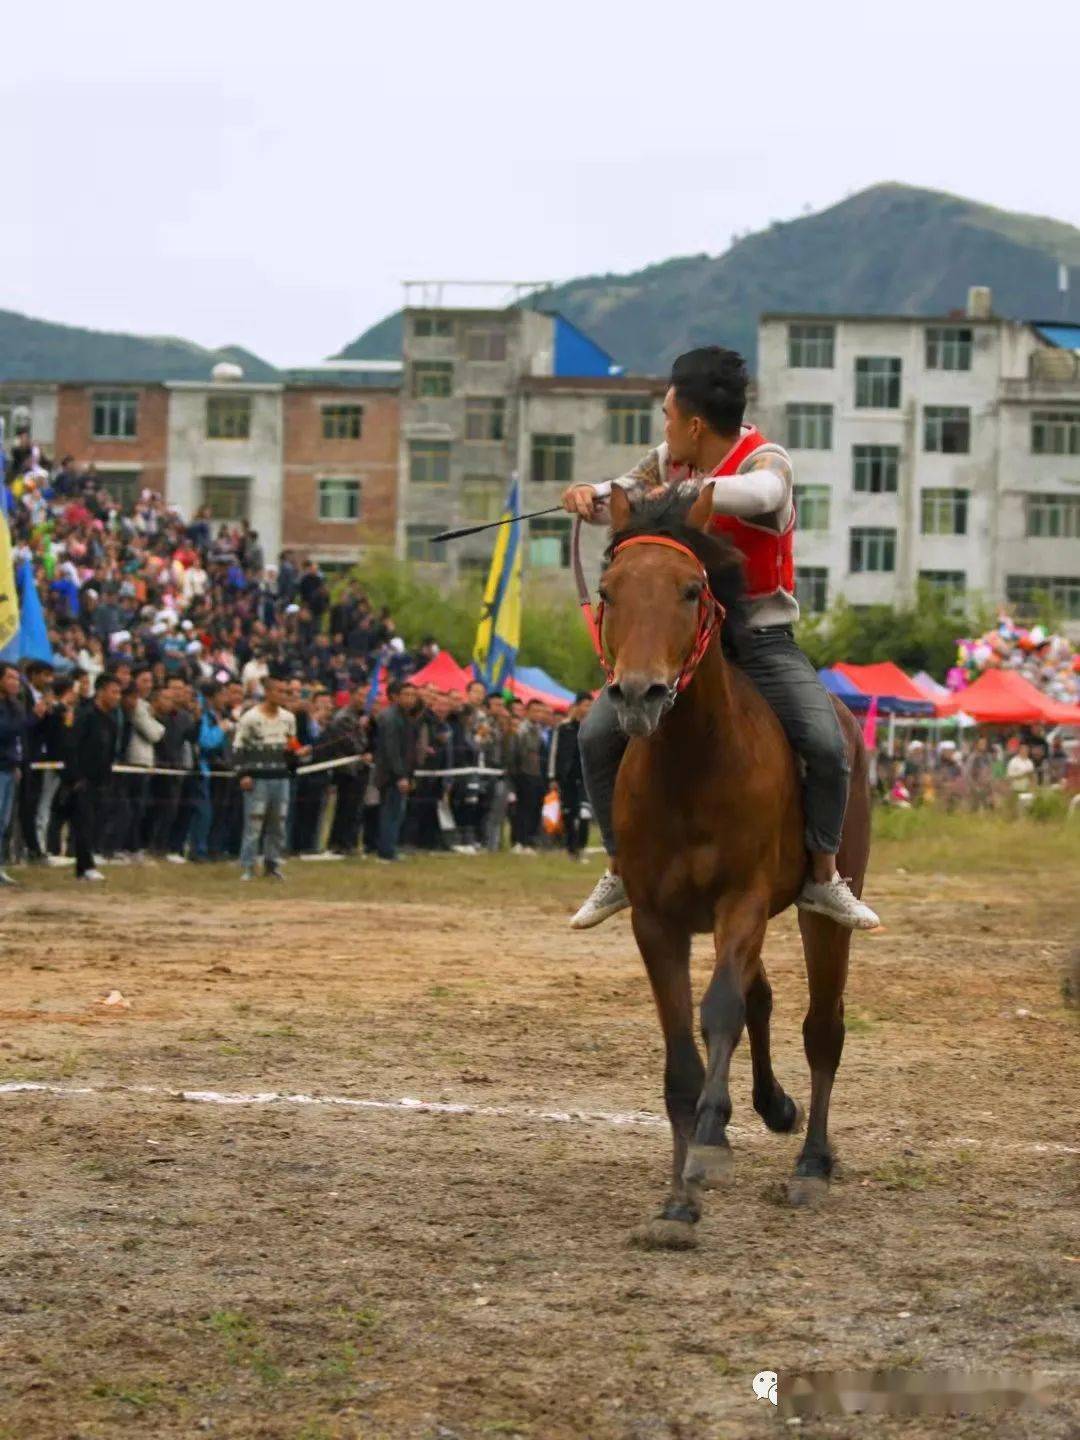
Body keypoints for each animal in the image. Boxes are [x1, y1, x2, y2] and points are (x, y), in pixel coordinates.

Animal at [604, 483, 875, 1249]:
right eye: (607, 591)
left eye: (691, 589)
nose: (639, 695)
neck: (692, 765)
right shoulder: (656, 921)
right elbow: (680, 1054)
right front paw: (675, 1203)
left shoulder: (742, 900)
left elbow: (719, 1009)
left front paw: (707, 1144)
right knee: (765, 997)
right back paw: (770, 1109)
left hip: (824, 908)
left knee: (822, 1027)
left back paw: (811, 1161)